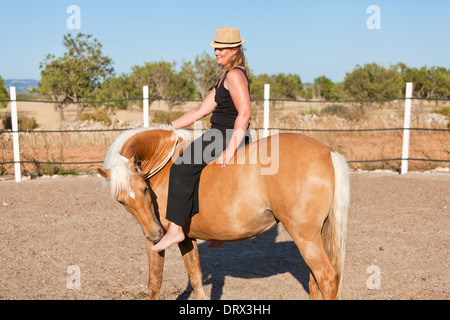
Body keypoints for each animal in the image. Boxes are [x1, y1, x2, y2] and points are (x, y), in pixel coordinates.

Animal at [99, 125, 352, 300]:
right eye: (122, 201)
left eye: (144, 189)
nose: (155, 234)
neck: (164, 165)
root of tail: (329, 152)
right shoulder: (186, 238)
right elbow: (196, 278)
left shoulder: (156, 243)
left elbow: (154, 283)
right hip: (318, 233)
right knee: (315, 281)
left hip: (304, 236)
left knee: (327, 278)